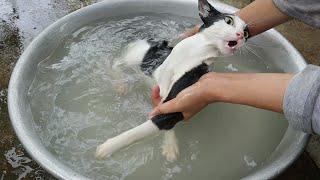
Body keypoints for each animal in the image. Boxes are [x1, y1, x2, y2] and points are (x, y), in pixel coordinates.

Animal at [95, 0, 250, 161]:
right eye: (228, 21)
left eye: (246, 33)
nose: (241, 36)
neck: (197, 52)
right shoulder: (165, 66)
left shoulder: (180, 96)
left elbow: (153, 123)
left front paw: (109, 146)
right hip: (135, 57)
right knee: (116, 64)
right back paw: (121, 84)